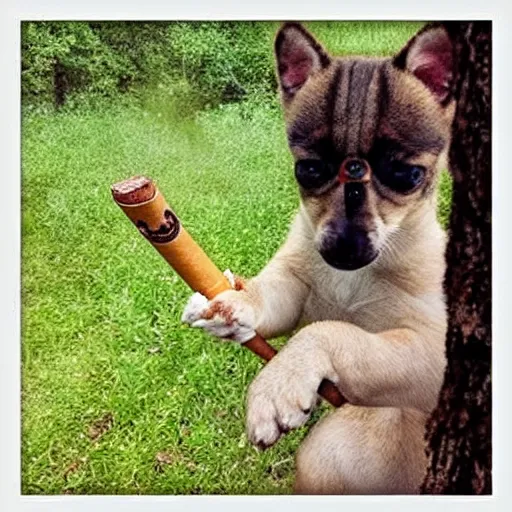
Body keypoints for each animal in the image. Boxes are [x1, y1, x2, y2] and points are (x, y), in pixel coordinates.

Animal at [182, 22, 454, 494]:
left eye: (407, 175)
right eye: (307, 169)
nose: (343, 248)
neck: (354, 281)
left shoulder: (429, 355)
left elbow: (331, 333)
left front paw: (277, 385)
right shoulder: (294, 286)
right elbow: (270, 300)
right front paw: (233, 305)